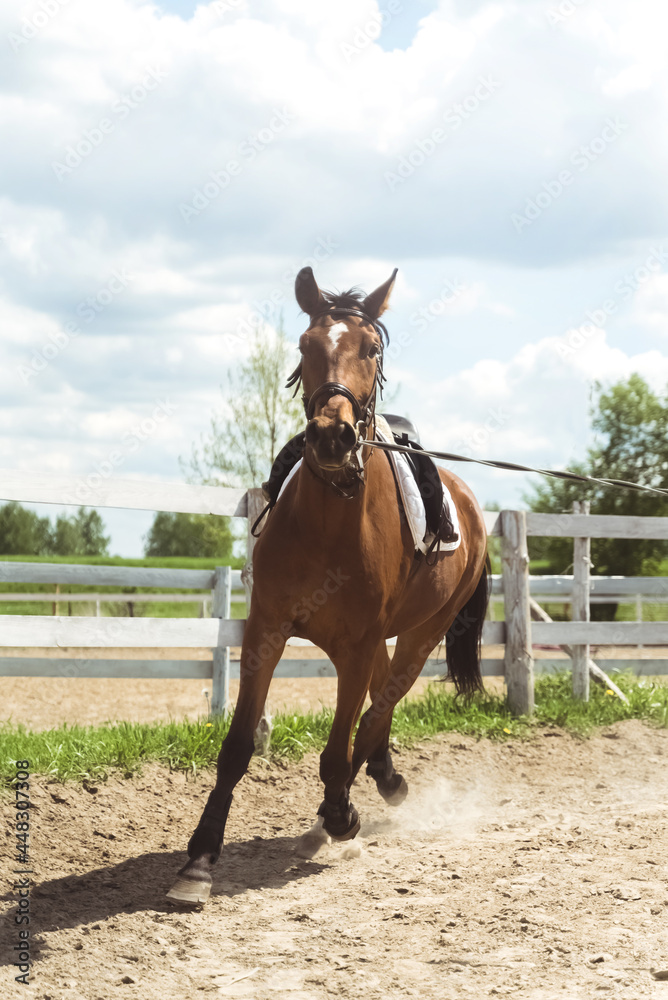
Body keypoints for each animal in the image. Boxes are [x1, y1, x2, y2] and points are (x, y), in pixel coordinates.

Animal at [167, 266, 488, 908]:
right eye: (305, 346)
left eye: (371, 349)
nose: (332, 437)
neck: (327, 521)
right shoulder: (265, 632)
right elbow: (237, 747)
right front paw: (200, 859)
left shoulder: (355, 647)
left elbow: (340, 747)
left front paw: (339, 816)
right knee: (380, 704)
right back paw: (380, 781)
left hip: (423, 634)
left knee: (379, 708)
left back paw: (335, 816)